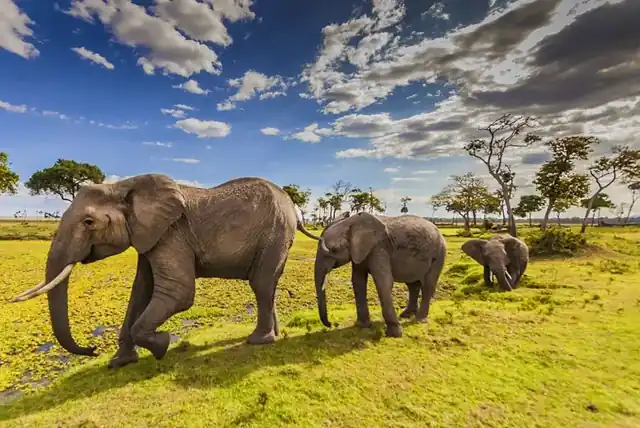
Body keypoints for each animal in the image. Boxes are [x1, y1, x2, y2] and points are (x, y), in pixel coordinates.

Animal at [9, 174, 325, 369]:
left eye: (88, 222)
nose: (92, 350)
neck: (123, 186)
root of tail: (294, 208)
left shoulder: (172, 233)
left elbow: (178, 292)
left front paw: (162, 346)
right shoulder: (149, 236)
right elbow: (140, 291)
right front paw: (118, 363)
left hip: (275, 233)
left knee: (261, 284)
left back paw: (258, 340)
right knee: (268, 286)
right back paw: (273, 336)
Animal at [306, 212, 447, 338]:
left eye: (334, 250)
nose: (331, 324)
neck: (351, 222)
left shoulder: (379, 247)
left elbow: (383, 281)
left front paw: (394, 334)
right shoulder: (359, 251)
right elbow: (358, 280)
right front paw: (362, 326)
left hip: (439, 253)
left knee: (428, 284)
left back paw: (419, 320)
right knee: (413, 284)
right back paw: (406, 315)